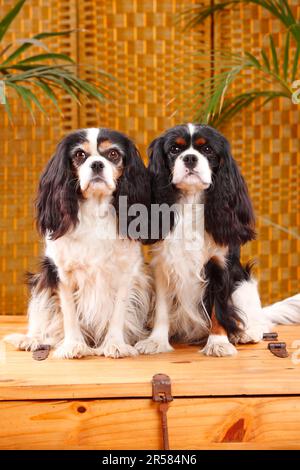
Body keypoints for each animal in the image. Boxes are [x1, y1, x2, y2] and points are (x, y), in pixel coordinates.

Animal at [6, 126, 152, 358]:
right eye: (79, 155)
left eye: (113, 154)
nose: (97, 164)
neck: (96, 209)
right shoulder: (61, 274)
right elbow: (69, 314)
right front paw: (74, 345)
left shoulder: (127, 273)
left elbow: (118, 313)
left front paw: (115, 344)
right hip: (41, 280)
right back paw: (32, 339)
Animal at [137, 124, 300, 356]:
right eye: (175, 150)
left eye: (207, 150)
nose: (190, 158)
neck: (191, 201)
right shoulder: (163, 266)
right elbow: (162, 308)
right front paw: (156, 341)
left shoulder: (221, 266)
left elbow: (219, 309)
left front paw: (218, 343)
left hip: (243, 283)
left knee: (259, 321)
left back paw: (244, 333)